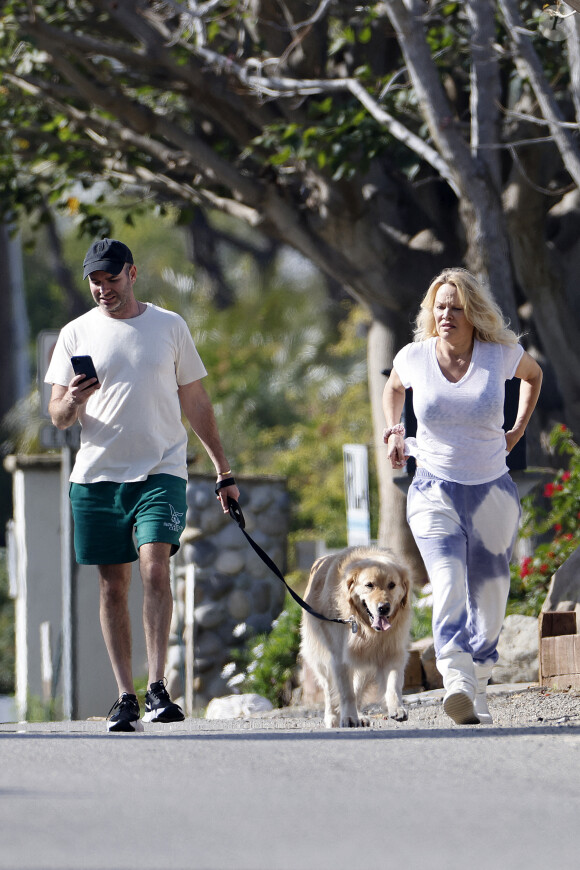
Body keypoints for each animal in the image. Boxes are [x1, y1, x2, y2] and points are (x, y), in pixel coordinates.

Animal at [302, 552, 410, 728]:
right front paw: (349, 717)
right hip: (322, 659)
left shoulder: (392, 652)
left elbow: (392, 684)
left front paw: (397, 708)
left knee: (357, 688)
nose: (384, 607)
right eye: (369, 585)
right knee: (328, 689)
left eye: (392, 585)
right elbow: (346, 693)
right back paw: (332, 716)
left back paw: (360, 715)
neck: (366, 628)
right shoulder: (340, 659)